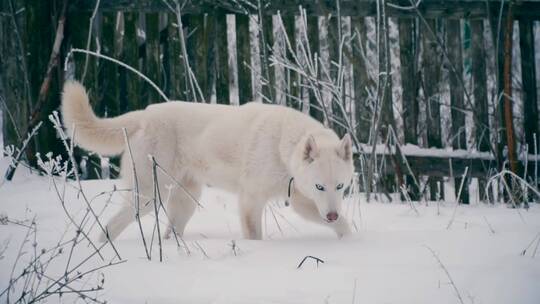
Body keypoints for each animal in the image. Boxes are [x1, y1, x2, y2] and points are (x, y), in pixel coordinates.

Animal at [61, 81, 354, 240]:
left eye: (340, 187)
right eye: (319, 186)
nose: (330, 214)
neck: (283, 145)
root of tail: (144, 114)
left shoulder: (304, 202)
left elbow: (344, 225)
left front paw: (350, 244)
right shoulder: (251, 200)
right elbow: (254, 235)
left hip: (184, 202)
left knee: (170, 233)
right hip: (147, 197)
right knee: (110, 226)